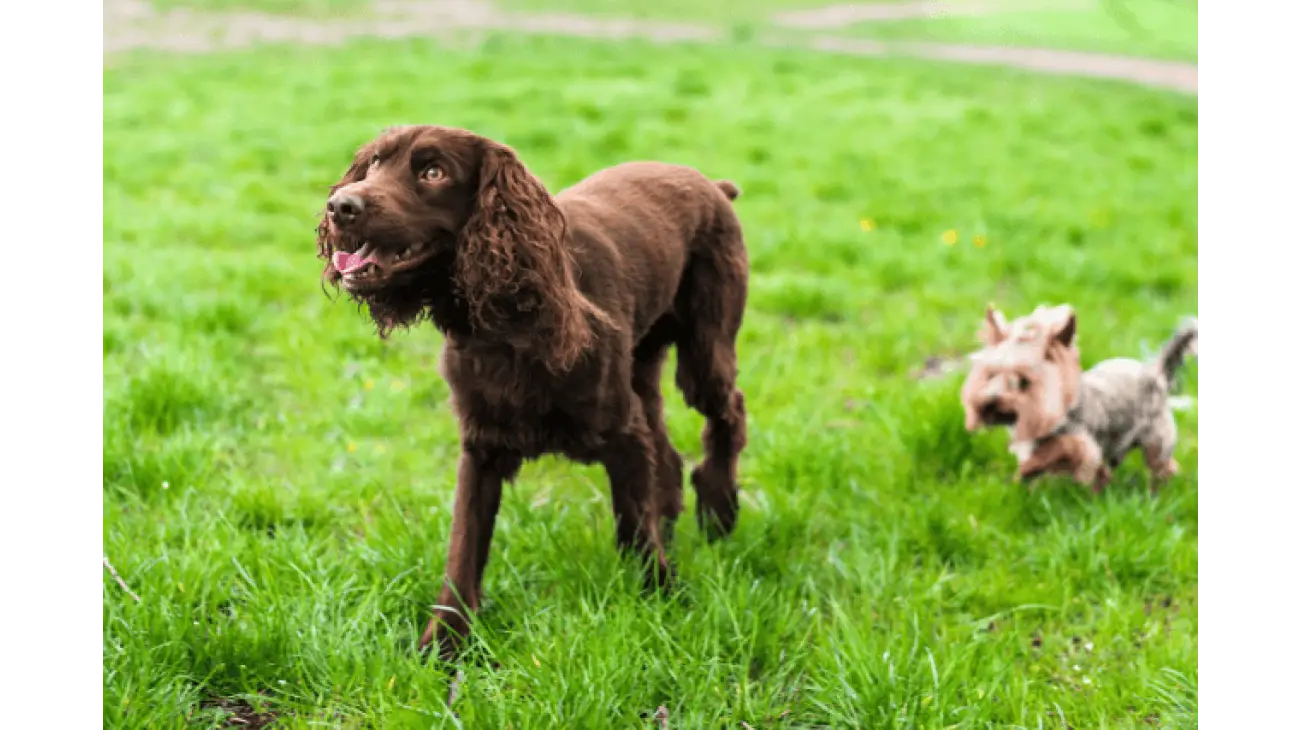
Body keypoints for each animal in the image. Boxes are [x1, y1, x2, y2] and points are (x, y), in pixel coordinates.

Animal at [313, 126, 754, 659]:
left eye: (433, 172)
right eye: (374, 164)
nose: (340, 206)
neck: (508, 327)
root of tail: (712, 185)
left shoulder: (621, 435)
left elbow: (633, 526)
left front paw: (660, 602)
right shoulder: (481, 446)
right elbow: (463, 549)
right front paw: (443, 645)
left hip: (705, 345)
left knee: (727, 412)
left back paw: (719, 508)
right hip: (643, 367)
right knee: (665, 449)